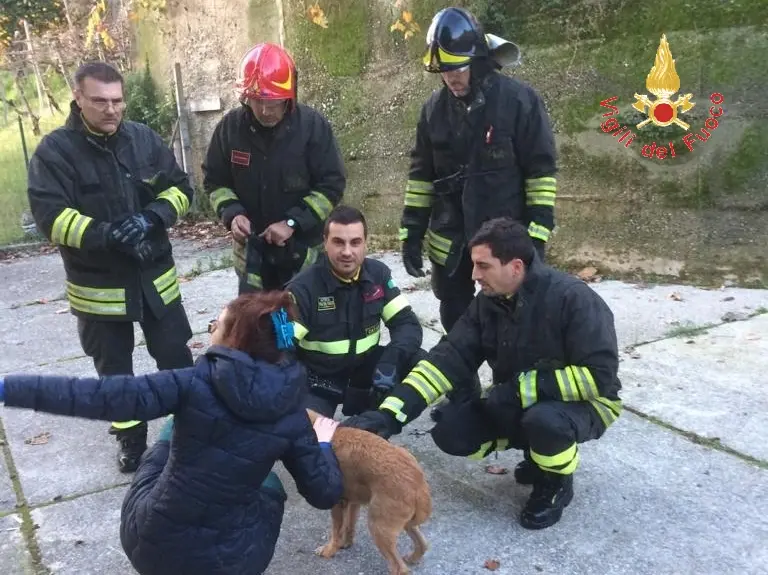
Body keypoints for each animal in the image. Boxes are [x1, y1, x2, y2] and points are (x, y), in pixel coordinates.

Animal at [308, 410, 436, 575]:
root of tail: (419, 485)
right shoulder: (352, 501)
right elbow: (349, 526)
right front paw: (345, 543)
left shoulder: (338, 502)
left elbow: (336, 531)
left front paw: (329, 550)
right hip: (404, 523)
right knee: (423, 544)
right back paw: (413, 557)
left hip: (378, 526)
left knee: (399, 568)